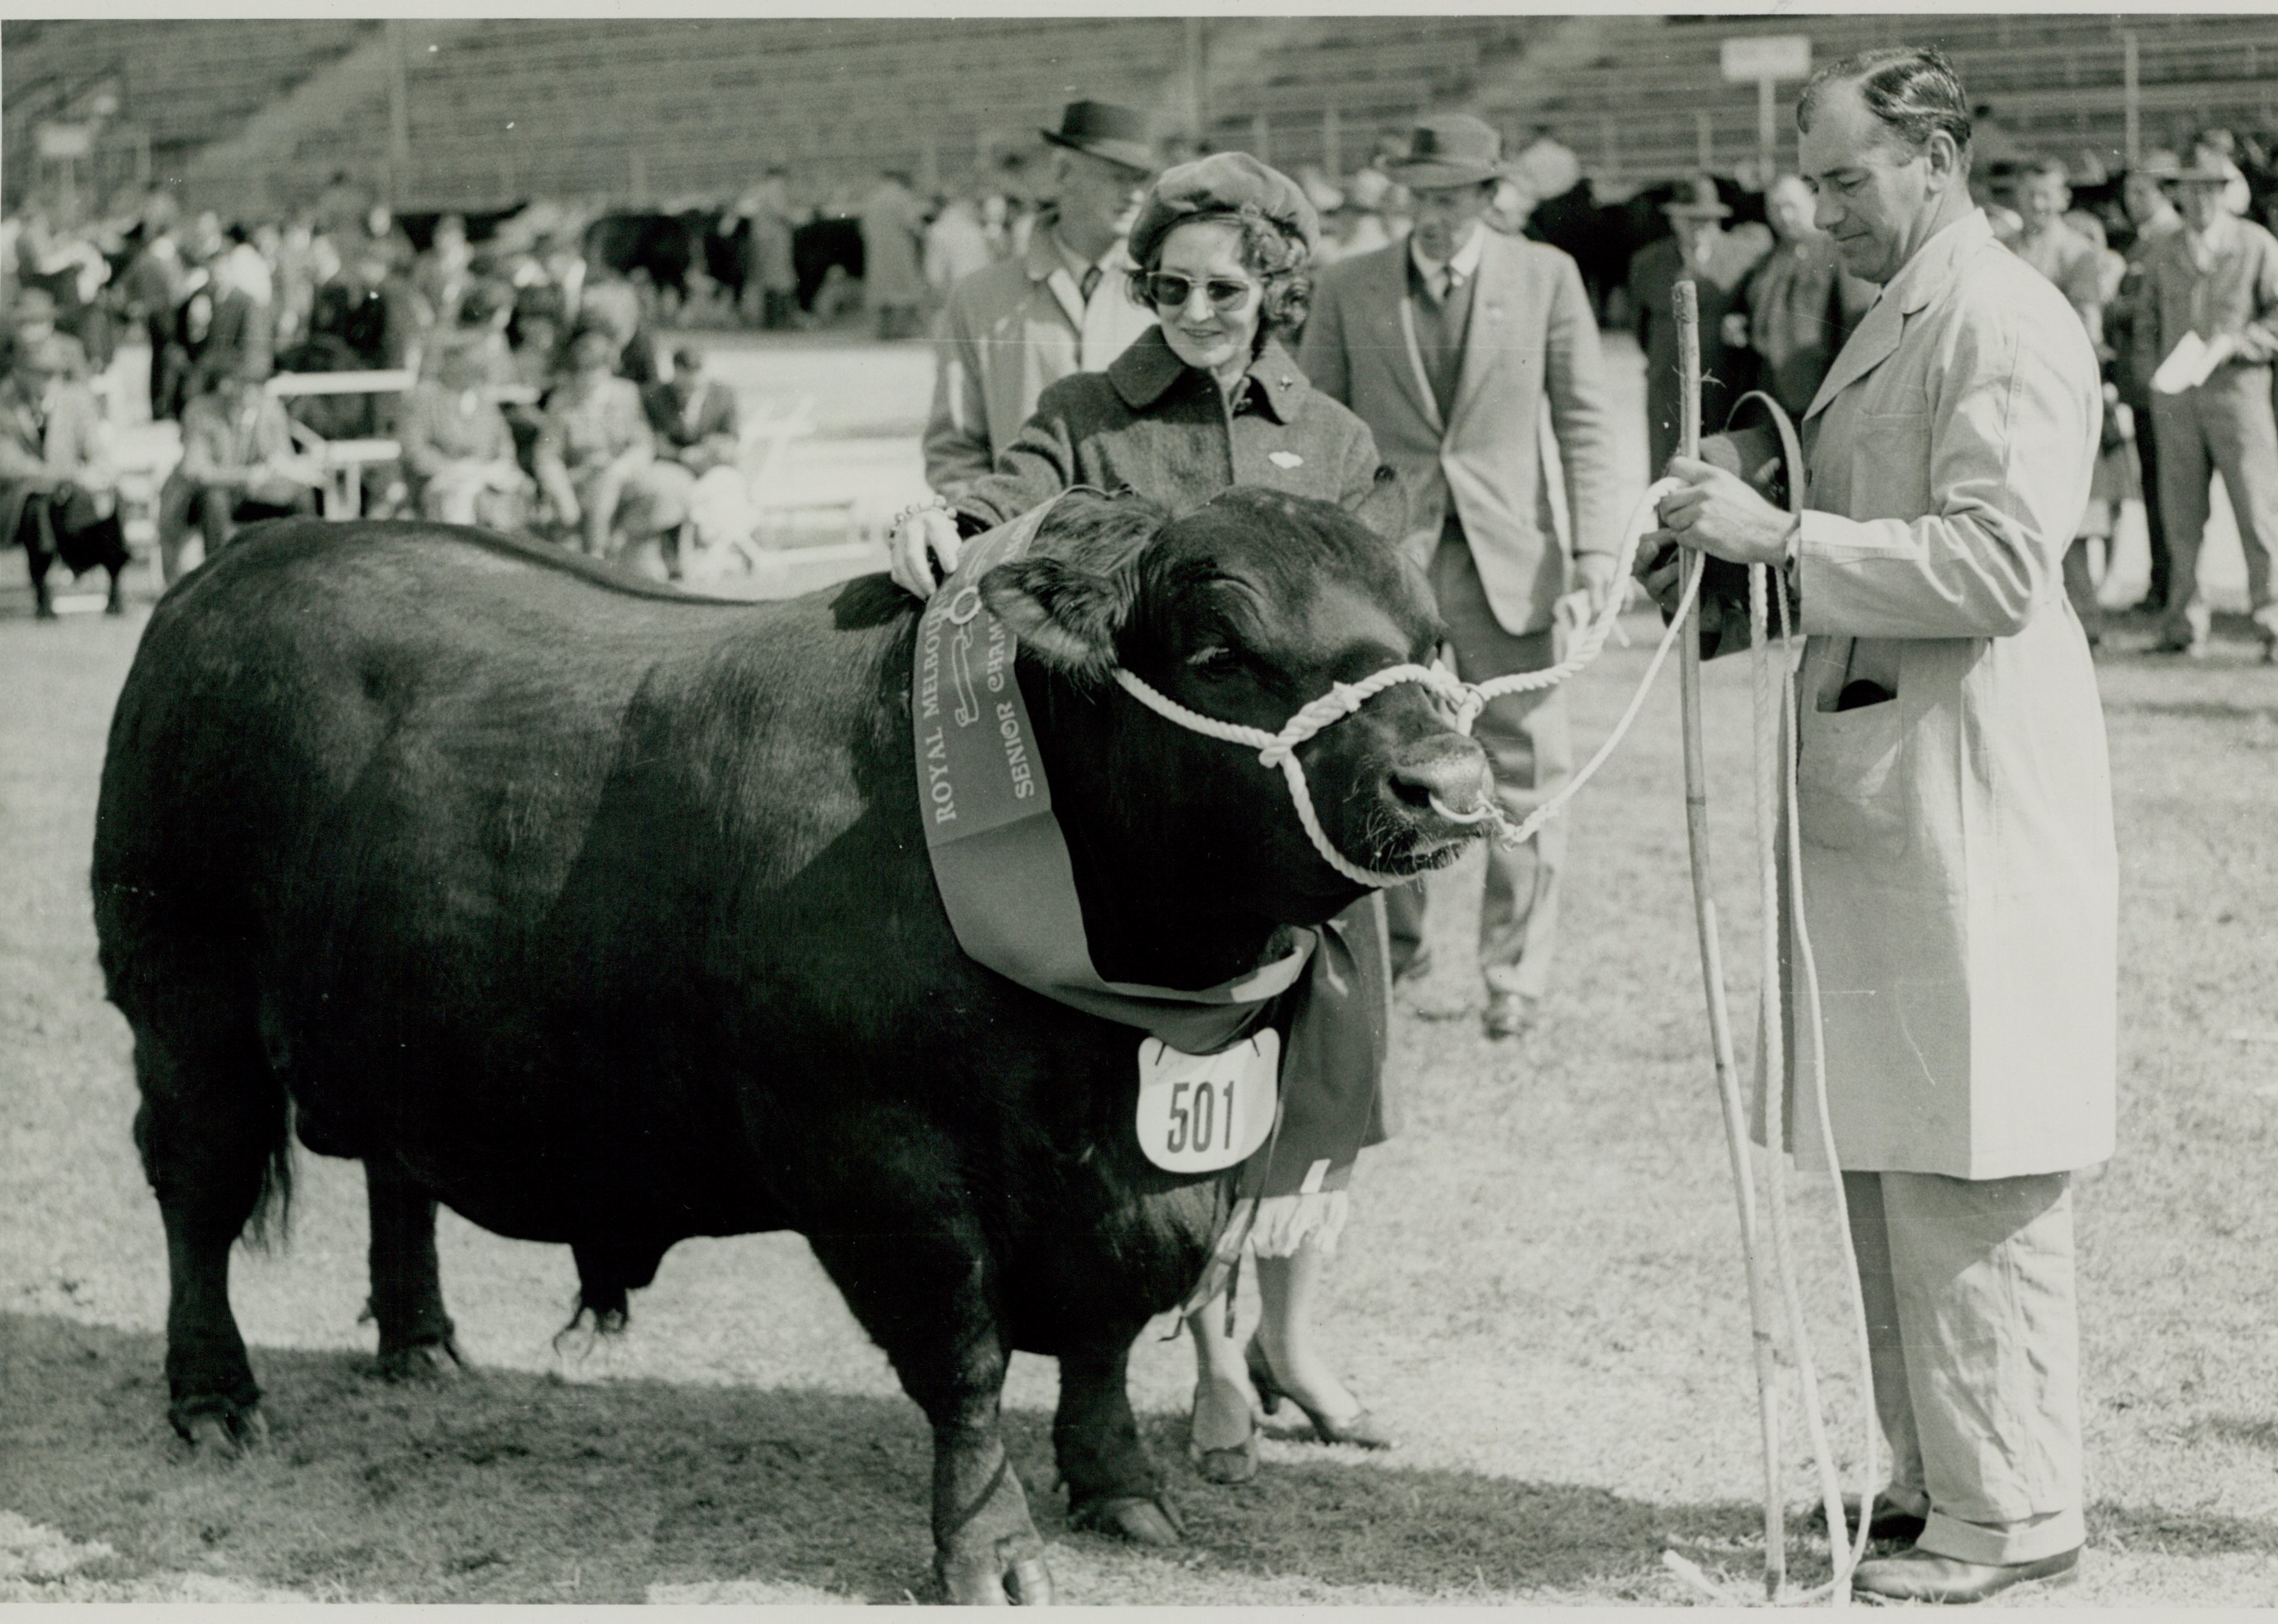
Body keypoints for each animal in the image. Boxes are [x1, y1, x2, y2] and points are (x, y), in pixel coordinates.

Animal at [92, 490, 1495, 1604]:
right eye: (1219, 651)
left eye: (1431, 645)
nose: (1447, 783)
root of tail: (241, 561)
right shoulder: (881, 1158)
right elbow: (964, 1354)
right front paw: (991, 1550)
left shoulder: (1141, 1173)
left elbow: (1098, 1339)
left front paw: (1120, 1488)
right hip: (185, 1013)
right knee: (196, 1196)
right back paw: (214, 1399)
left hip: (403, 1018)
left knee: (397, 1170)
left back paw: (423, 1343)